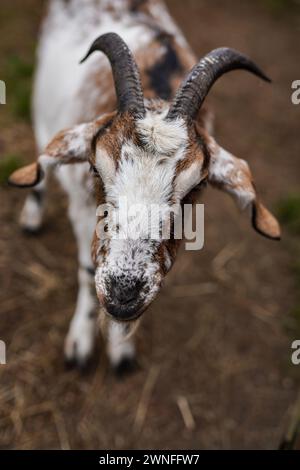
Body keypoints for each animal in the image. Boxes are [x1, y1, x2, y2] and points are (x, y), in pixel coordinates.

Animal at [9, 0, 282, 374]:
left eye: (196, 187)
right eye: (95, 167)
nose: (123, 295)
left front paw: (121, 349)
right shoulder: (82, 209)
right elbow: (87, 268)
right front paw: (80, 347)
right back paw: (32, 217)